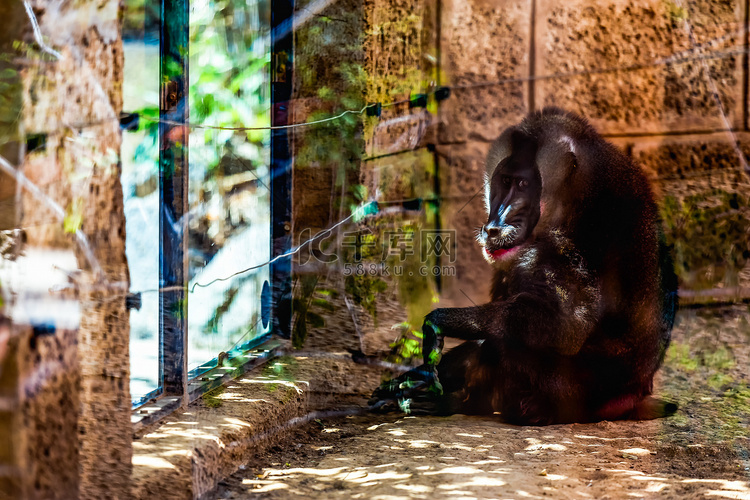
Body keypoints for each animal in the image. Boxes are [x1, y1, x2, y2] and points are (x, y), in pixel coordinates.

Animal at [372, 107, 680, 424]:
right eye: (505, 181)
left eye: (523, 184)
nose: (493, 227)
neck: (576, 191)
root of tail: (632, 398)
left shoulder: (561, 245)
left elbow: (567, 326)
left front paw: (439, 322)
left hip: (562, 397)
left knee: (502, 344)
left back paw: (451, 403)